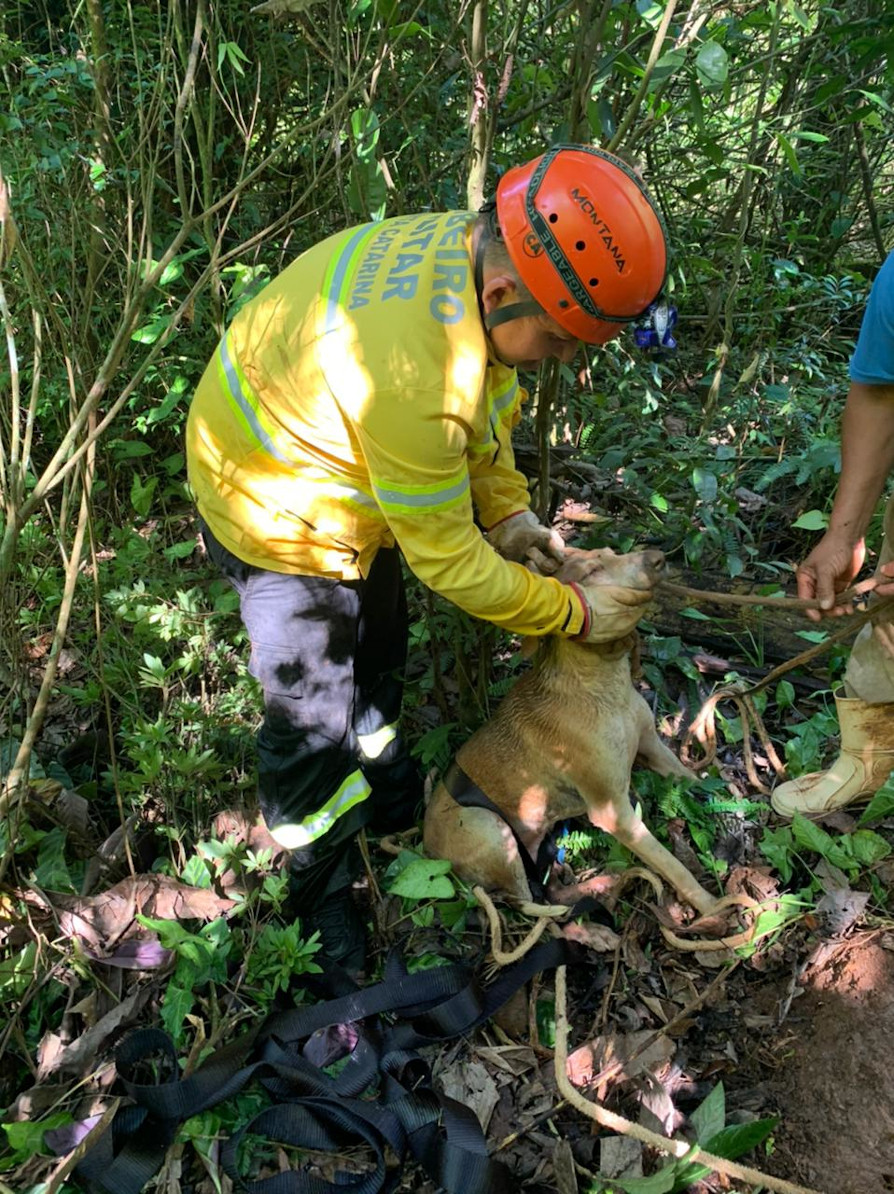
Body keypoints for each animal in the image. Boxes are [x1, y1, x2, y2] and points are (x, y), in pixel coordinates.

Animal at [422, 546, 720, 916]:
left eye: (612, 552)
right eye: (591, 572)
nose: (657, 558)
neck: (602, 687)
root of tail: (427, 847)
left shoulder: (653, 747)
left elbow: (693, 780)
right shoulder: (614, 812)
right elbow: (672, 864)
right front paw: (714, 907)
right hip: (491, 829)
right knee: (527, 901)